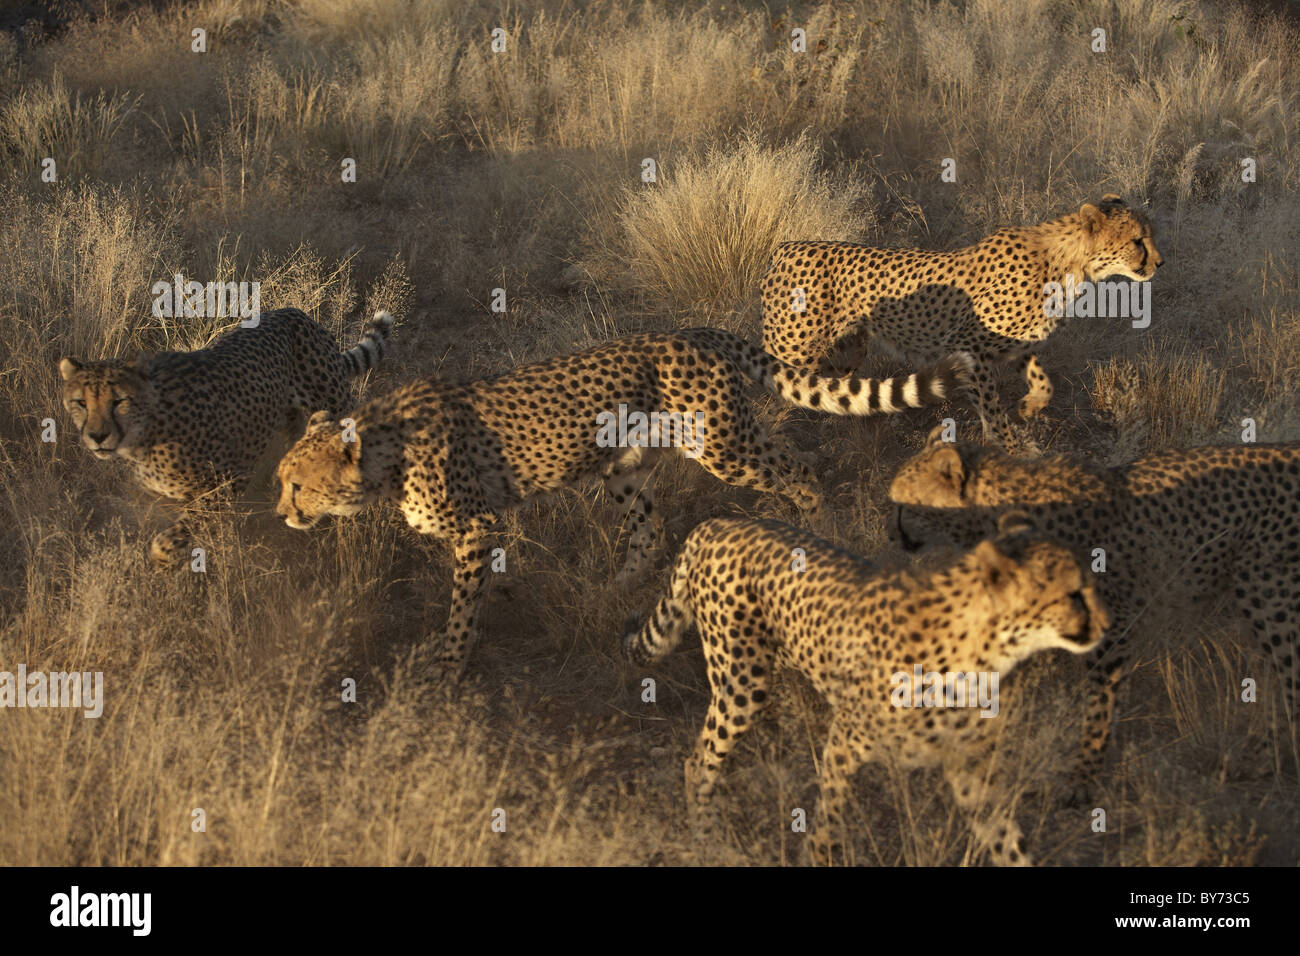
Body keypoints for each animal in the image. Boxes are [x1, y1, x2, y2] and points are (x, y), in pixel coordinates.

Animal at [64, 306, 390, 564]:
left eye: (118, 401)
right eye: (80, 403)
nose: (97, 436)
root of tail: (295, 312)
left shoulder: (230, 479)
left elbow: (186, 525)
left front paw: (163, 559)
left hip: (335, 403)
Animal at [271, 332, 967, 676]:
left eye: (297, 484)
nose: (280, 515)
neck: (385, 455)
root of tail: (688, 330)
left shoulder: (477, 526)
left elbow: (462, 608)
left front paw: (446, 664)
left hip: (724, 447)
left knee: (802, 472)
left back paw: (813, 532)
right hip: (625, 469)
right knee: (651, 533)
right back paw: (609, 595)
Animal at [624, 515, 1102, 868]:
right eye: (1074, 593)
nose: (1106, 624)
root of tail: (718, 522)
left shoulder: (969, 768)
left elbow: (1006, 840)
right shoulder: (844, 743)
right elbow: (827, 827)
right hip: (742, 681)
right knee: (697, 762)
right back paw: (707, 842)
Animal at [759, 195, 1164, 447]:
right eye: (1137, 240)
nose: (1159, 263)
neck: (1069, 264)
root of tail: (785, 247)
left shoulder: (1016, 345)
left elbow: (1042, 381)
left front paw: (1029, 407)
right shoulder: (969, 348)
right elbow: (992, 411)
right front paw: (1013, 449)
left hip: (844, 352)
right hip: (795, 349)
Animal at [889, 429, 1300, 796]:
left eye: (902, 504)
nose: (892, 536)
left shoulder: (1111, 630)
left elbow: (1099, 705)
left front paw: (1082, 779)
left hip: (1270, 598)